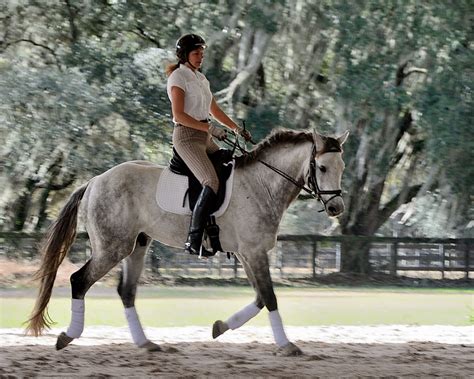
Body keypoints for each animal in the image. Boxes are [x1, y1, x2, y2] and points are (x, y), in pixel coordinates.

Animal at [25, 129, 348, 358]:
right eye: (321, 167)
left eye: (342, 166)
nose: (336, 208)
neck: (262, 184)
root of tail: (94, 181)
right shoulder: (254, 252)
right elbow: (269, 297)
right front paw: (286, 345)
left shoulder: (247, 254)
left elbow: (259, 297)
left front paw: (220, 327)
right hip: (111, 247)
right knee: (80, 280)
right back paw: (68, 336)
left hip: (136, 246)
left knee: (126, 291)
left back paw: (145, 343)